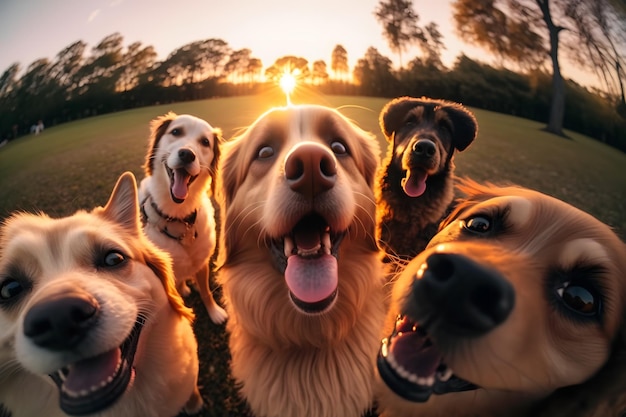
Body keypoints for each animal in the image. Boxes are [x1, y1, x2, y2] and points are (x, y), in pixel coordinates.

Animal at [138, 110, 225, 322]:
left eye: (205, 142)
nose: (187, 154)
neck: (178, 217)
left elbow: (206, 291)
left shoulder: (202, 262)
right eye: (176, 132)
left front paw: (215, 312)